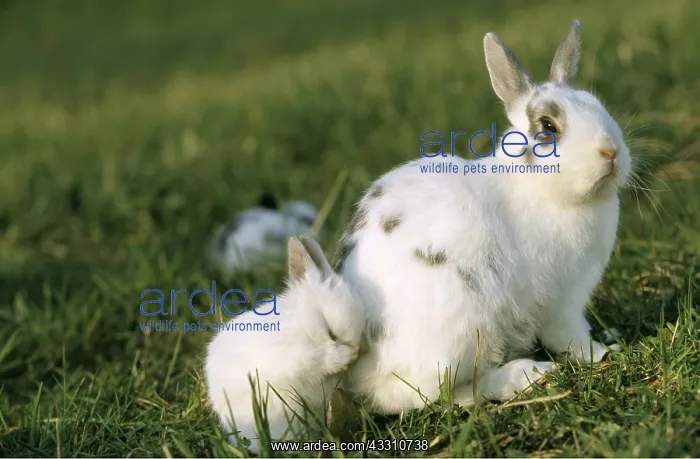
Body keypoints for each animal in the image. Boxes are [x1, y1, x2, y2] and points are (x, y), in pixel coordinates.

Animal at [205, 235, 367, 453]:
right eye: (330, 332)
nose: (358, 350)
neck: (304, 329)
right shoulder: (294, 358)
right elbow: (316, 361)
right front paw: (343, 356)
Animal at [333, 20, 630, 415]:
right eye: (548, 127)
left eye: (599, 106)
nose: (611, 152)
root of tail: (362, 373)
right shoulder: (562, 300)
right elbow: (572, 336)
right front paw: (602, 353)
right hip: (462, 330)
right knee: (443, 395)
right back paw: (525, 375)